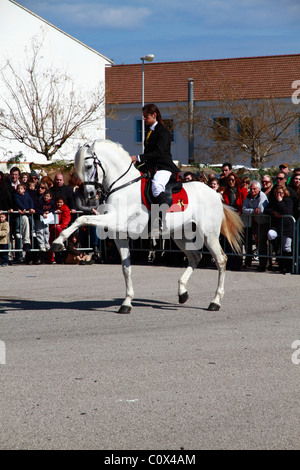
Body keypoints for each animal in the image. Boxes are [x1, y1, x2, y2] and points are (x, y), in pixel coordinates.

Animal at [51, 141, 244, 314]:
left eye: (89, 166)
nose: (90, 195)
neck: (123, 186)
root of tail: (215, 194)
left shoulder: (113, 220)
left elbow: (82, 218)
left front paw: (58, 241)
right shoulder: (120, 236)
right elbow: (126, 269)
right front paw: (127, 303)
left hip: (209, 235)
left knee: (221, 260)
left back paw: (215, 302)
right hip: (180, 235)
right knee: (195, 257)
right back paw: (182, 293)